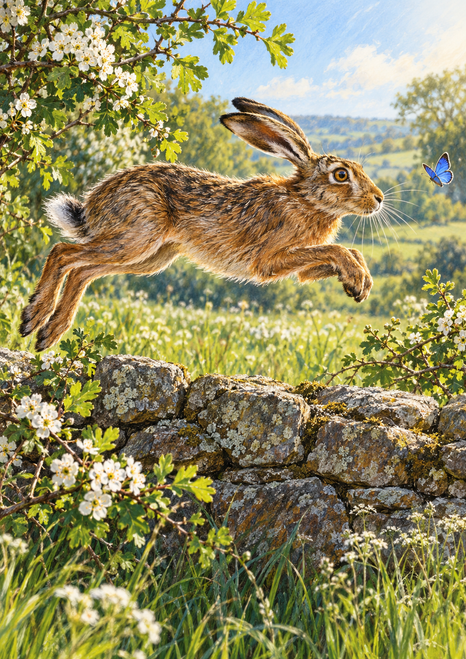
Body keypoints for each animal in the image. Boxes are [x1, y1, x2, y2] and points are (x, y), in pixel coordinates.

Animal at [20, 96, 383, 352]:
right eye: (341, 175)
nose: (378, 199)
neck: (306, 199)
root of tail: (93, 204)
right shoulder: (270, 259)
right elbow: (335, 249)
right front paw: (357, 280)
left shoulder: (299, 266)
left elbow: (343, 253)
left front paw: (359, 283)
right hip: (136, 236)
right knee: (64, 252)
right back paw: (34, 320)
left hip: (149, 257)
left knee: (83, 271)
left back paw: (47, 330)